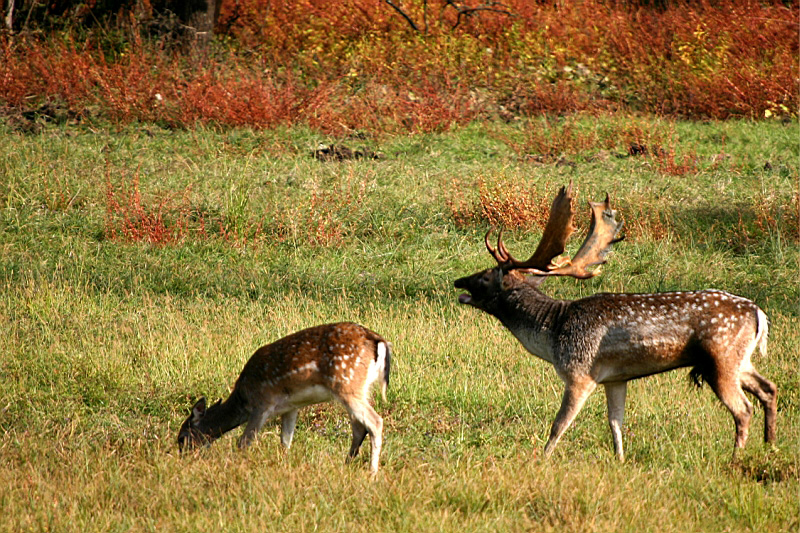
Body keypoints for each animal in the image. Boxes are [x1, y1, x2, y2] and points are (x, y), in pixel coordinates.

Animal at [181, 322, 394, 472]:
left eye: (182, 437)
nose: (181, 456)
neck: (243, 399)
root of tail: (378, 341)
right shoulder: (291, 407)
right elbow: (285, 441)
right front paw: (283, 464)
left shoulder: (262, 404)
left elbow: (244, 441)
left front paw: (237, 465)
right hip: (358, 389)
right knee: (359, 427)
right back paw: (347, 464)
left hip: (347, 384)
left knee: (375, 422)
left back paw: (372, 472)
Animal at [456, 181, 776, 460]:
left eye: (485, 276)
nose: (459, 281)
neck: (553, 333)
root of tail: (758, 313)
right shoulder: (615, 378)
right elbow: (615, 424)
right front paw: (620, 460)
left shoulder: (579, 373)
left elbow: (559, 424)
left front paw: (541, 459)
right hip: (739, 360)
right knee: (769, 389)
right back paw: (770, 446)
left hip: (721, 358)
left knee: (744, 409)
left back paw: (736, 458)